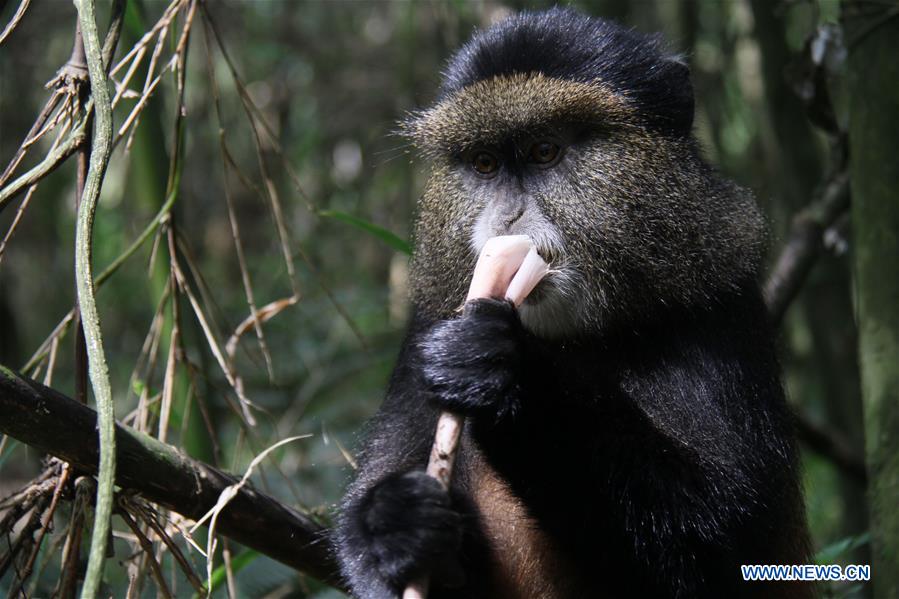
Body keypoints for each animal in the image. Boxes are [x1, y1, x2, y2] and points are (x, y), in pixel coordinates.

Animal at [334, 8, 812, 599]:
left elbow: (721, 543)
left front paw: (507, 370)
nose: (507, 218)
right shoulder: (429, 320)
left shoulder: (723, 306)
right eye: (485, 163)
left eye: (545, 152)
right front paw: (393, 521)